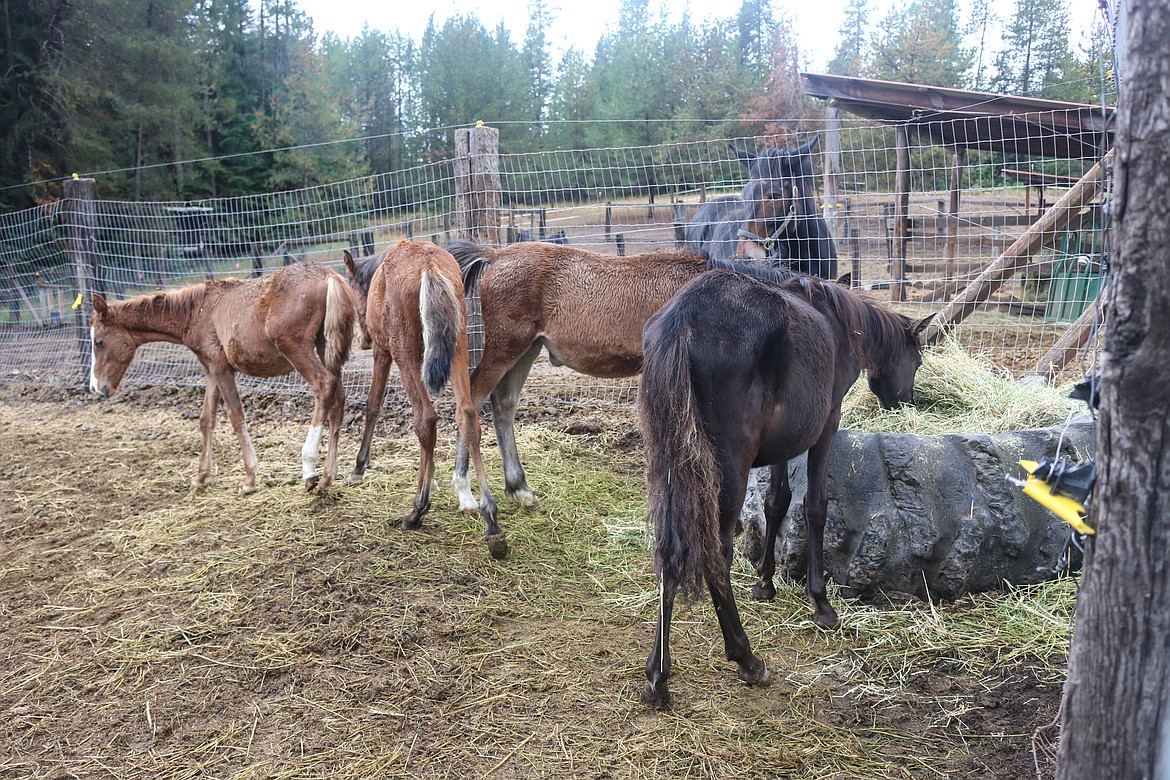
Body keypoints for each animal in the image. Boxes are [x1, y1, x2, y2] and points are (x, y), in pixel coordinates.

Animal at [636, 261, 935, 706]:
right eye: (916, 362)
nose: (904, 402)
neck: (835, 319)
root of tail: (682, 320)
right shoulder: (826, 424)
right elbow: (814, 506)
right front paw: (821, 603)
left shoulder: (781, 442)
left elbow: (777, 501)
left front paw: (764, 582)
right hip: (728, 469)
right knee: (714, 553)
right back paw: (745, 658)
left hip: (671, 468)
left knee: (670, 553)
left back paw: (658, 675)